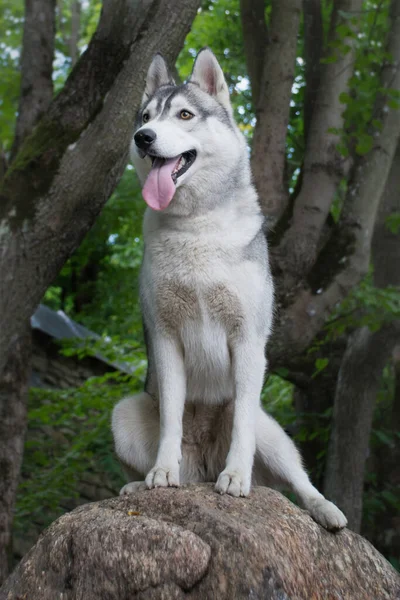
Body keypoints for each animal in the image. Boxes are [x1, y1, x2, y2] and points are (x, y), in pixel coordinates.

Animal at [112, 48, 346, 528]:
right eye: (145, 117)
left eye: (184, 114)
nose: (143, 138)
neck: (196, 227)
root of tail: (203, 466)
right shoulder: (165, 338)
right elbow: (171, 419)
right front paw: (161, 472)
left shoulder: (247, 340)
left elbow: (241, 428)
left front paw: (236, 476)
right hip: (122, 416)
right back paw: (142, 483)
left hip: (271, 433)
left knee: (298, 479)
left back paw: (324, 508)